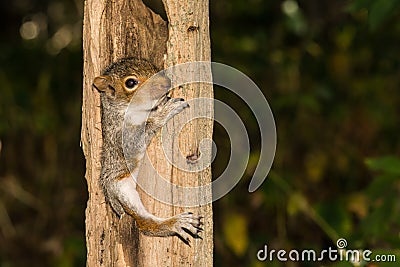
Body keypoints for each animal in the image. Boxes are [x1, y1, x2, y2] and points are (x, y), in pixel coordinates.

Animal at [92, 58, 202, 245]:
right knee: (144, 224)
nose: (166, 83)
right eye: (130, 83)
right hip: (120, 189)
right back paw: (174, 223)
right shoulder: (122, 136)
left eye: (153, 66)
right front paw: (164, 111)